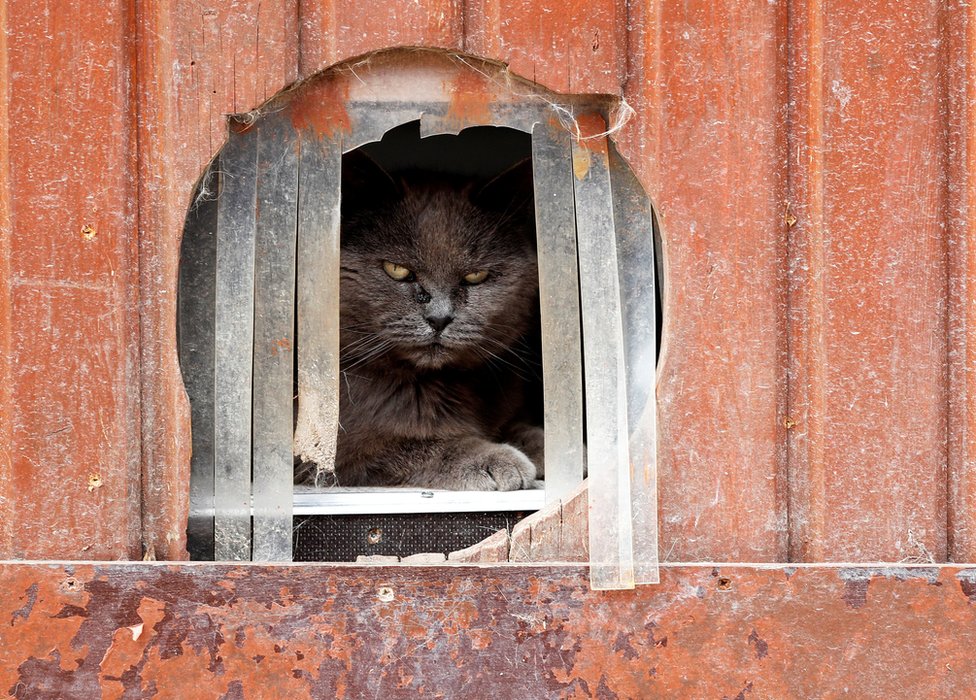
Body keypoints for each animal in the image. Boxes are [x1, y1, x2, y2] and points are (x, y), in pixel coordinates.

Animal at [294, 153, 544, 492]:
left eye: (475, 276)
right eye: (397, 269)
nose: (439, 317)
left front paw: (547, 443)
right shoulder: (328, 455)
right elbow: (414, 444)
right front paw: (493, 458)